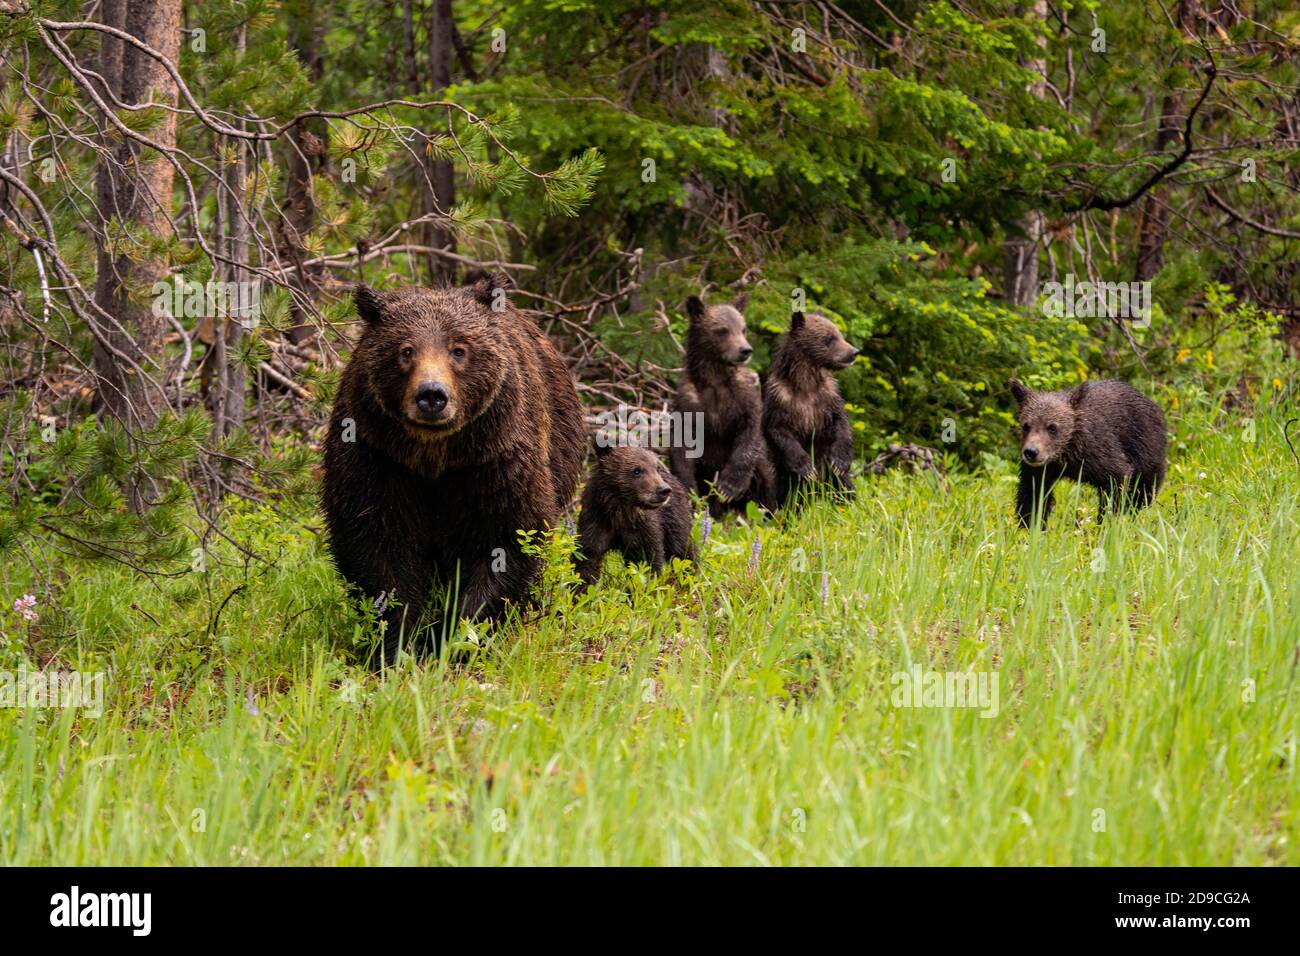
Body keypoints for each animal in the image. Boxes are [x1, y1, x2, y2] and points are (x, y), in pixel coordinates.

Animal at [325, 277, 585, 665]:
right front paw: (395, 644)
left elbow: (506, 541)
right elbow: (377, 544)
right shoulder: (378, 459)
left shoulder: (495, 462)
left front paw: (448, 637)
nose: (432, 395)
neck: (436, 455)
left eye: (459, 350)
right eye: (406, 350)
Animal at [670, 293, 769, 520]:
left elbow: (750, 430)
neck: (715, 379)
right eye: (722, 330)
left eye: (743, 328)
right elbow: (682, 448)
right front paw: (689, 494)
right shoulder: (689, 402)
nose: (745, 350)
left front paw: (729, 486)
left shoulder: (745, 396)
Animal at [759, 314, 863, 509]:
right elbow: (779, 430)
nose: (854, 352)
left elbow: (841, 424)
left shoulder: (828, 397)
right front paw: (806, 468)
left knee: (842, 487)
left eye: (839, 334)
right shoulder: (780, 399)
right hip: (783, 479)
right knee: (789, 499)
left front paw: (840, 461)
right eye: (830, 338)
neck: (805, 384)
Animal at [1003, 377, 1170, 528]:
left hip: (1146, 448)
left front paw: (1107, 524)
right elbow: (1032, 496)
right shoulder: (1041, 470)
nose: (1031, 452)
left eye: (1052, 427)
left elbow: (1117, 484)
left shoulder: (1101, 454)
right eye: (1026, 425)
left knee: (1144, 490)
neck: (1066, 454)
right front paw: (1029, 528)